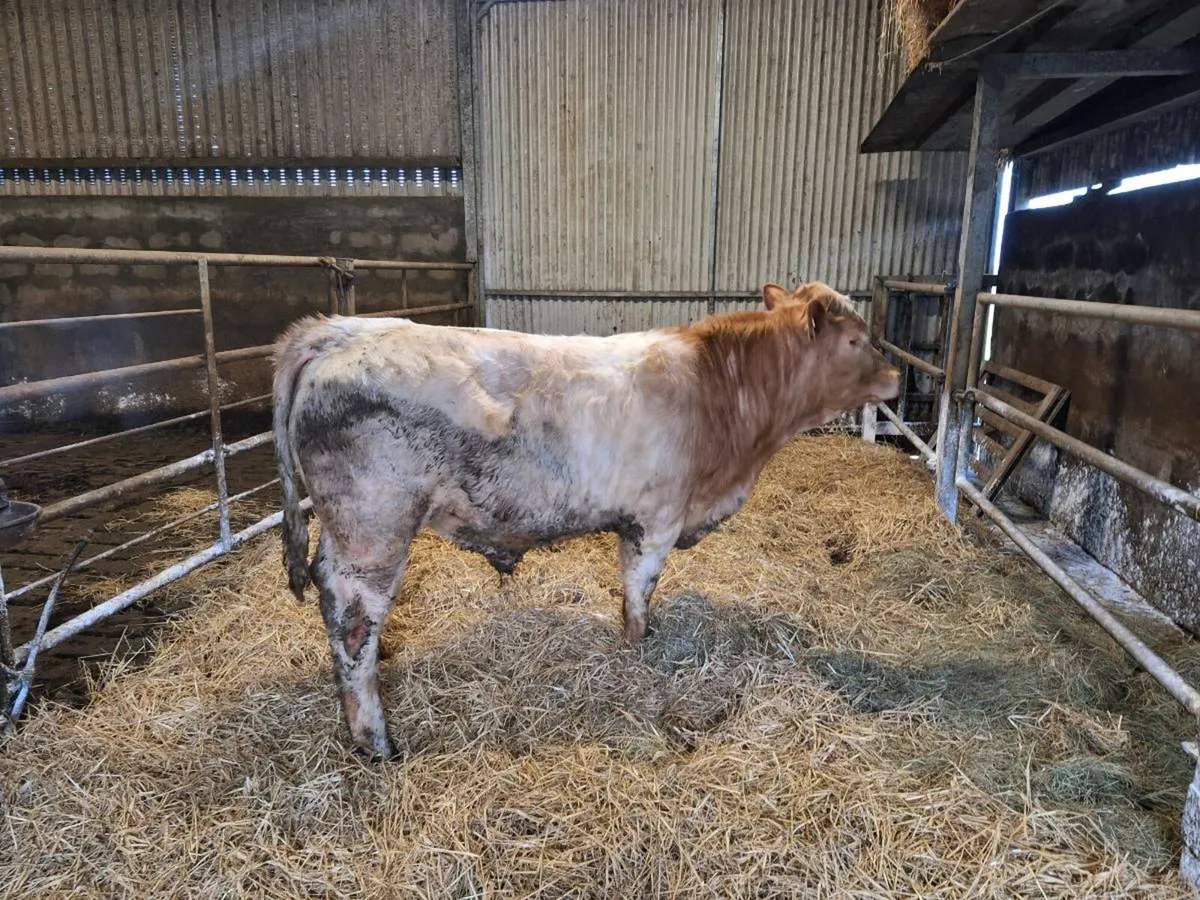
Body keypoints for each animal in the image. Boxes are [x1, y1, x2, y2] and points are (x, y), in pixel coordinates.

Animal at [272, 281, 901, 758]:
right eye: (855, 339)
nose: (897, 375)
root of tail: (339, 331)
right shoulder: (656, 520)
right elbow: (639, 594)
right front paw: (637, 653)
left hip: (345, 530)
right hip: (374, 530)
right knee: (353, 619)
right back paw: (376, 741)